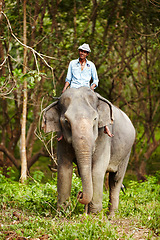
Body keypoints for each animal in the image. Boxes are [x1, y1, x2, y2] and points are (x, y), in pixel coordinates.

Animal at [42, 86, 136, 216]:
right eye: (66, 121)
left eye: (95, 119)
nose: (80, 194)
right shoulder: (61, 138)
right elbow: (64, 168)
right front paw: (62, 213)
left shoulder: (104, 135)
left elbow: (97, 169)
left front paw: (94, 214)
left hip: (127, 152)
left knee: (116, 179)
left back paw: (111, 215)